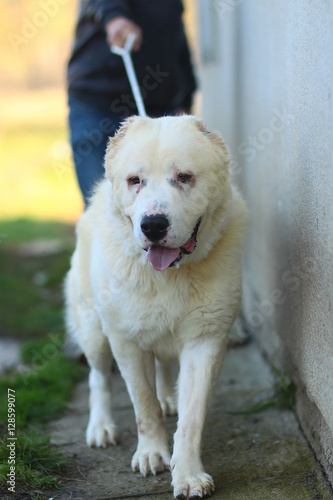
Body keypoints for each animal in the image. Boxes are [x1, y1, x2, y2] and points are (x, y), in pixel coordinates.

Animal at [65, 115, 246, 498]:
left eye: (184, 177)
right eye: (135, 181)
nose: (152, 225)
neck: (168, 276)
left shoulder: (205, 341)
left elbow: (191, 418)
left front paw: (188, 474)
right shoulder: (125, 342)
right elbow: (143, 406)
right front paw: (151, 454)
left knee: (162, 365)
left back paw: (167, 399)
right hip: (94, 332)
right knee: (98, 378)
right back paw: (100, 427)